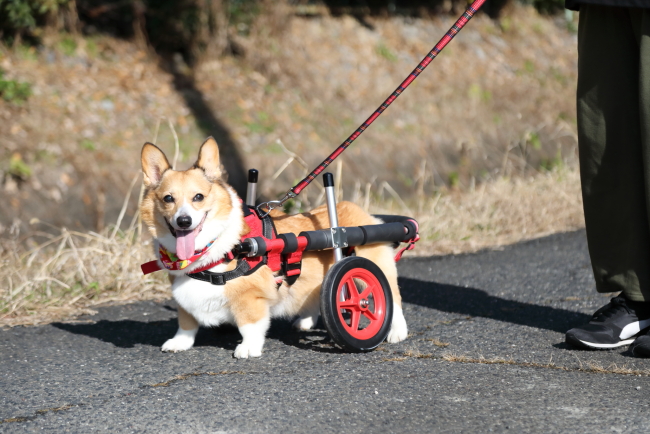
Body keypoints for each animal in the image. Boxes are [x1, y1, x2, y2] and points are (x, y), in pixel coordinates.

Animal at [141, 137, 404, 358]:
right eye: (168, 199)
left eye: (198, 197)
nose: (183, 221)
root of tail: (356, 209)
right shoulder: (183, 292)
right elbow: (186, 322)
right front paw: (180, 343)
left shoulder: (251, 297)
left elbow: (249, 325)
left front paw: (248, 348)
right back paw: (306, 320)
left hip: (371, 267)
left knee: (393, 297)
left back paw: (396, 331)